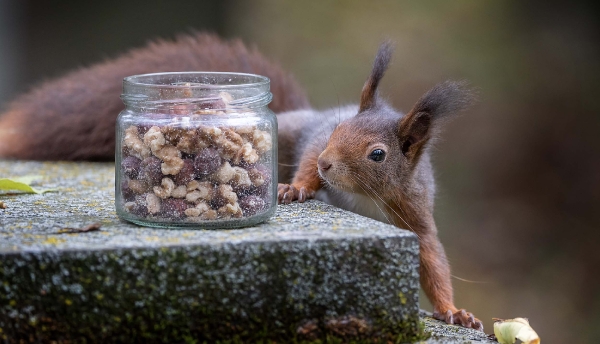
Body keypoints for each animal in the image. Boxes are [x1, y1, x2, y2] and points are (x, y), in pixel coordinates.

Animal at [0, 33, 482, 330]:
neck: (362, 196)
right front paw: (297, 187)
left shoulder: (413, 210)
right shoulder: (315, 141)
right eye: (336, 130)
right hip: (290, 132)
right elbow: (306, 162)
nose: (328, 165)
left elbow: (432, 259)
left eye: (378, 155)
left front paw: (455, 312)